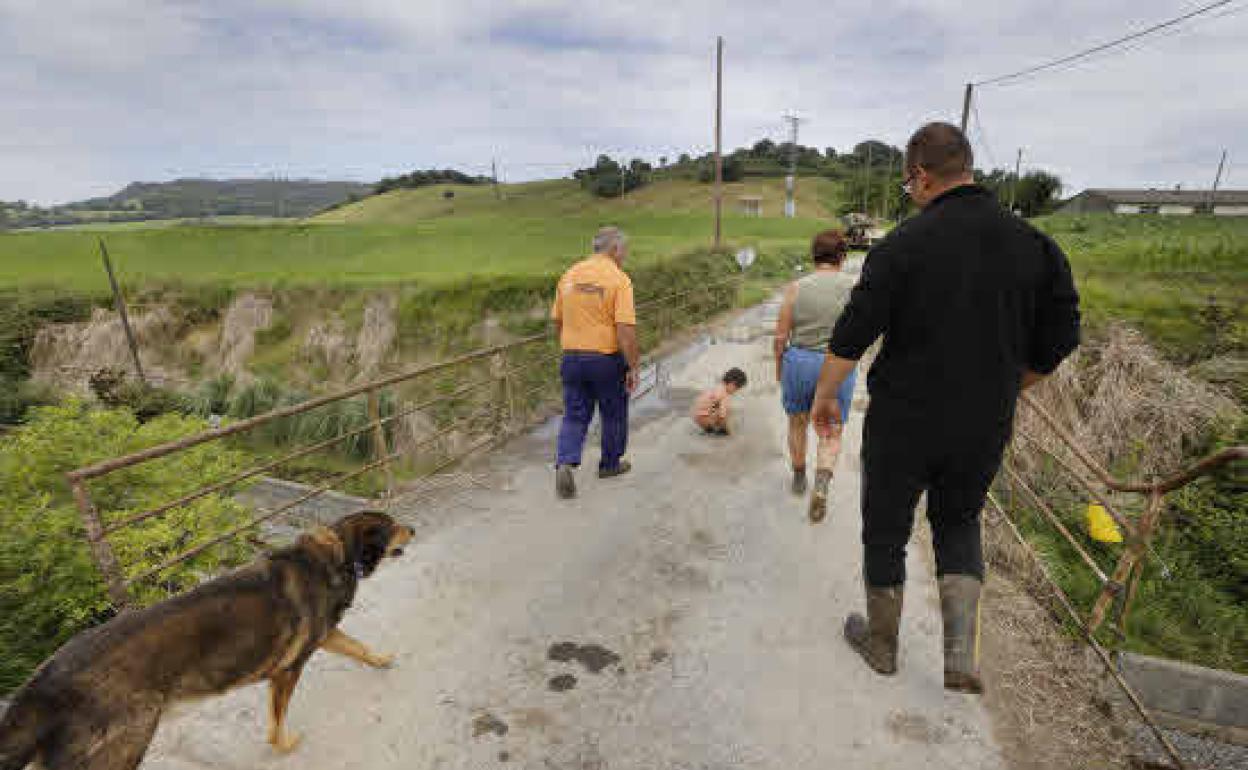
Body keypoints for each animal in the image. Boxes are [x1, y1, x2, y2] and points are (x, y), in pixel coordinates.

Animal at [0, 506, 411, 763]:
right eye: (392, 525)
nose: (414, 528)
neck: (337, 554)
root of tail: (42, 685)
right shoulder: (288, 670)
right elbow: (277, 724)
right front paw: (284, 746)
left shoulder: (324, 637)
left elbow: (358, 647)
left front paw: (380, 660)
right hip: (122, 748)